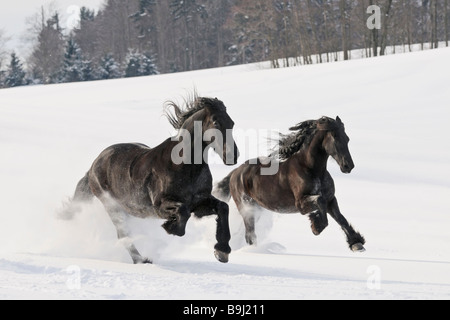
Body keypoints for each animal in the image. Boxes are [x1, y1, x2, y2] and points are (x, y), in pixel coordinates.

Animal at [62, 95, 243, 264]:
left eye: (232, 123)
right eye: (215, 122)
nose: (233, 155)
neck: (184, 166)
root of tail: (95, 164)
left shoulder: (199, 203)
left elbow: (223, 207)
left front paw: (222, 251)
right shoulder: (160, 206)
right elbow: (182, 212)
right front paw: (170, 227)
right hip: (111, 206)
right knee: (122, 234)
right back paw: (141, 260)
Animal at [214, 116, 366, 251]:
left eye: (347, 138)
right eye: (334, 136)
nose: (348, 166)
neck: (311, 169)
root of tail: (235, 173)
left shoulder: (331, 199)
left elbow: (341, 218)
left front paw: (357, 244)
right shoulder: (301, 204)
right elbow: (319, 201)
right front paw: (316, 226)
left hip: (256, 208)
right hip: (246, 207)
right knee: (250, 234)